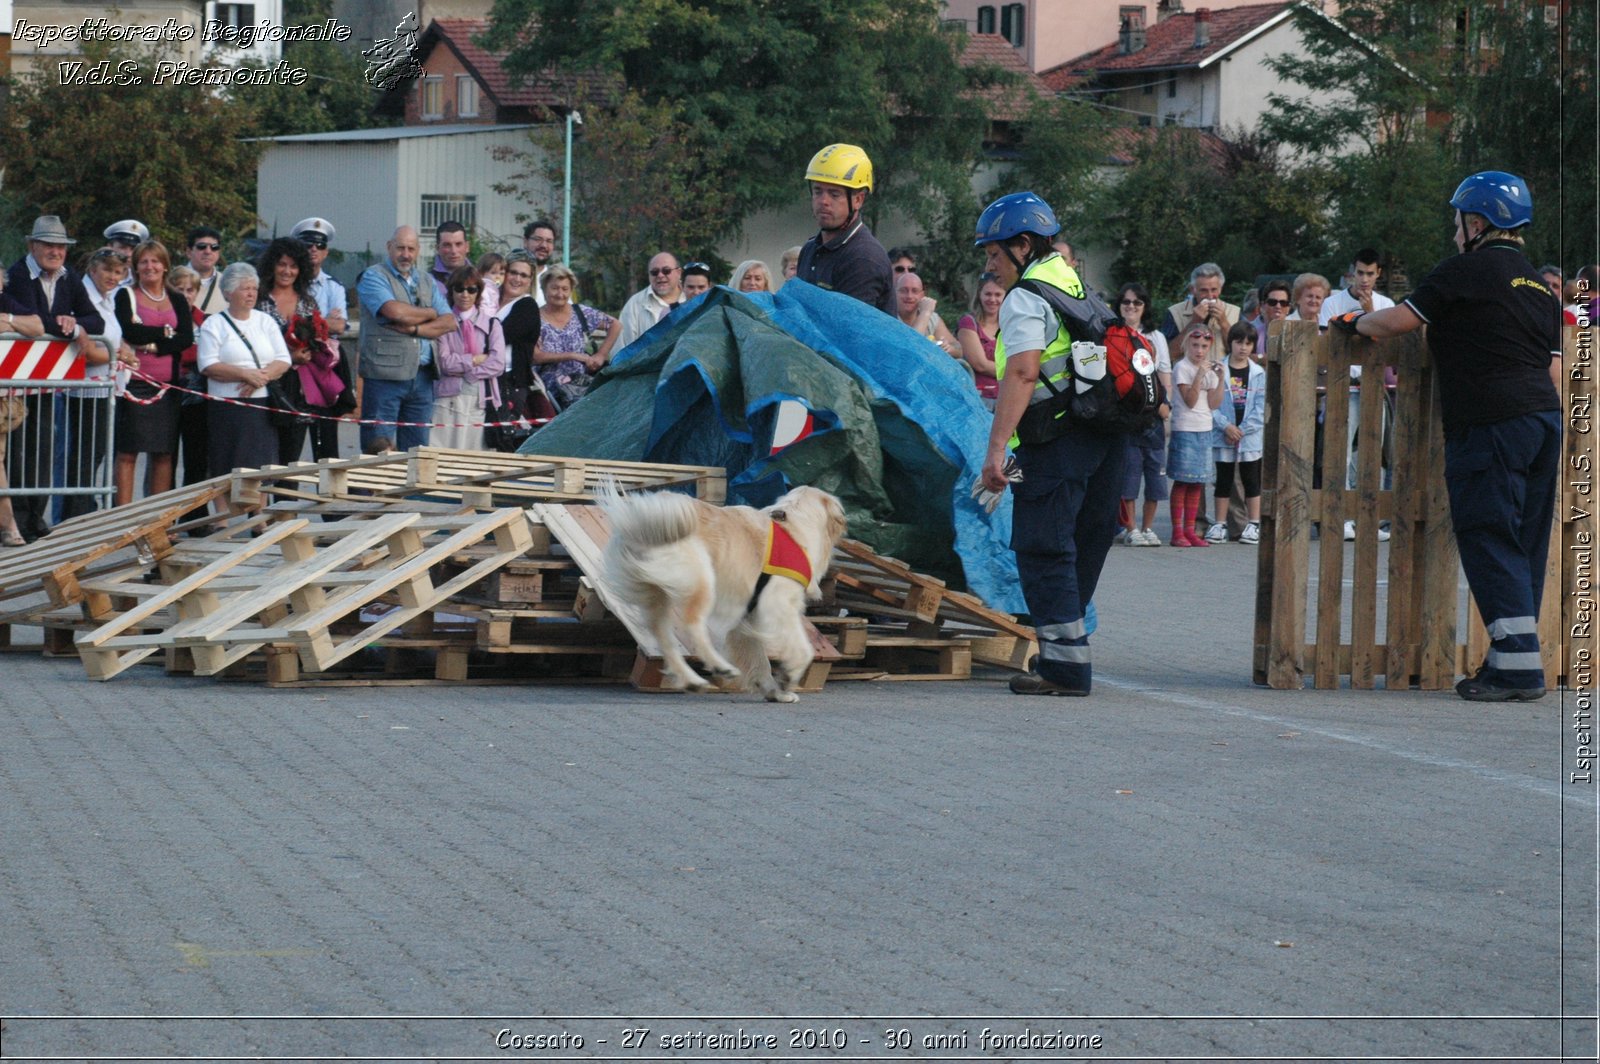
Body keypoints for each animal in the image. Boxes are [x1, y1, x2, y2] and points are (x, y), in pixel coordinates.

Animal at [601, 480, 851, 697]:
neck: (794, 527)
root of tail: (640, 525)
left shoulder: (746, 619)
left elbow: (760, 659)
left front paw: (774, 692)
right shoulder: (777, 605)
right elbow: (802, 648)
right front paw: (789, 676)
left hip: (655, 594)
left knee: (664, 637)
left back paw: (691, 679)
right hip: (701, 580)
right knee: (692, 625)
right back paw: (719, 666)